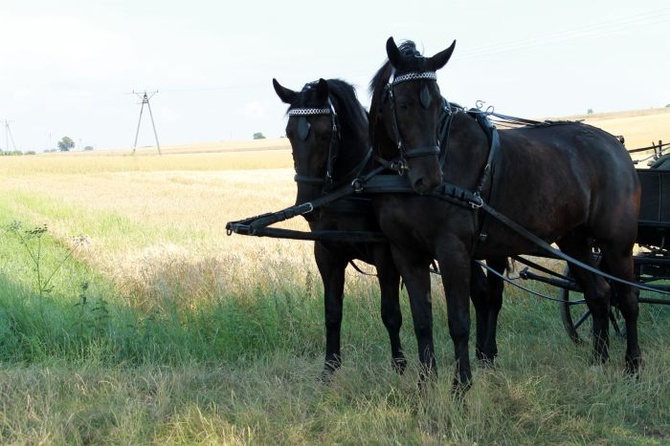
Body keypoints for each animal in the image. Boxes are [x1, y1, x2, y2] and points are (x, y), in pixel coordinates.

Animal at [272, 78, 410, 378]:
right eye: (289, 134)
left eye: (326, 134)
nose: (307, 204)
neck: (354, 186)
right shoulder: (327, 253)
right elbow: (332, 313)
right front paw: (329, 369)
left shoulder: (386, 256)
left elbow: (391, 314)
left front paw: (399, 366)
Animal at [370, 37, 644, 390]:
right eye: (402, 104)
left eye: (437, 104)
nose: (429, 179)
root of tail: (615, 145)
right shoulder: (407, 253)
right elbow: (422, 322)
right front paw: (425, 385)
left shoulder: (453, 252)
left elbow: (459, 322)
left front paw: (461, 386)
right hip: (575, 242)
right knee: (599, 295)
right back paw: (599, 361)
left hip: (617, 243)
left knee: (627, 300)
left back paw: (633, 365)